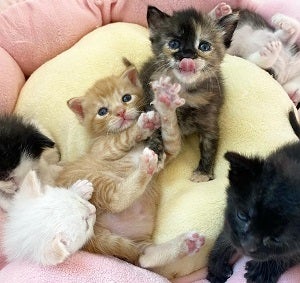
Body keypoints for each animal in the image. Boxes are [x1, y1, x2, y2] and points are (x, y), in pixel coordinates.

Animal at [55, 62, 205, 276]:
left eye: (126, 98)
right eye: (102, 111)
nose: (121, 112)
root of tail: (92, 236)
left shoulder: (166, 151)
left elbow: (172, 135)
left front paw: (166, 103)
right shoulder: (102, 149)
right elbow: (121, 138)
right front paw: (141, 125)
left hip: (139, 241)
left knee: (144, 257)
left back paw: (186, 244)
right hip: (96, 180)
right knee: (116, 200)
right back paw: (145, 167)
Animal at [139, 7, 238, 184]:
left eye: (204, 46)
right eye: (174, 44)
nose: (187, 54)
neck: (186, 92)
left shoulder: (210, 122)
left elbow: (209, 147)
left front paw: (203, 173)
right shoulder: (156, 108)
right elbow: (157, 133)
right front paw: (155, 154)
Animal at [207, 111, 300, 283]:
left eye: (277, 238)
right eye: (242, 216)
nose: (246, 247)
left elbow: (289, 254)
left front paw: (263, 270)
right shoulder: (230, 219)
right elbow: (226, 235)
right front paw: (216, 265)